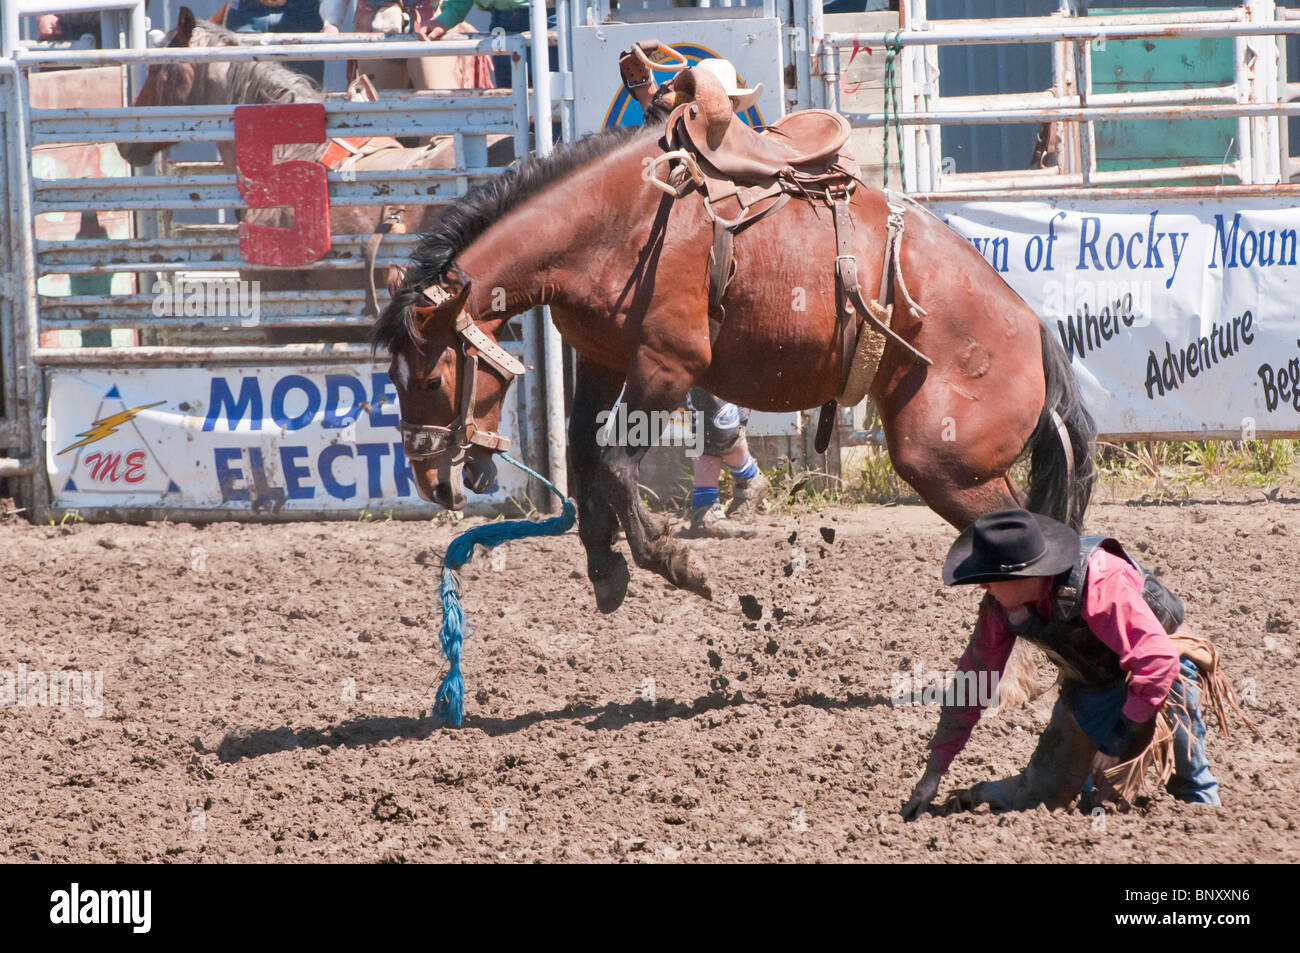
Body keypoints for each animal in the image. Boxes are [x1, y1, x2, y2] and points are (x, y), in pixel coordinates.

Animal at [371, 80, 1097, 615]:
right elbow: (581, 454)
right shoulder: (602, 360)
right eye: (393, 381)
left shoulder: (667, 368)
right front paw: (605, 565)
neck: (615, 221)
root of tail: (1033, 330)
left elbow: (615, 466)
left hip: (943, 461)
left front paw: (676, 563)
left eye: (430, 380)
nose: (431, 483)